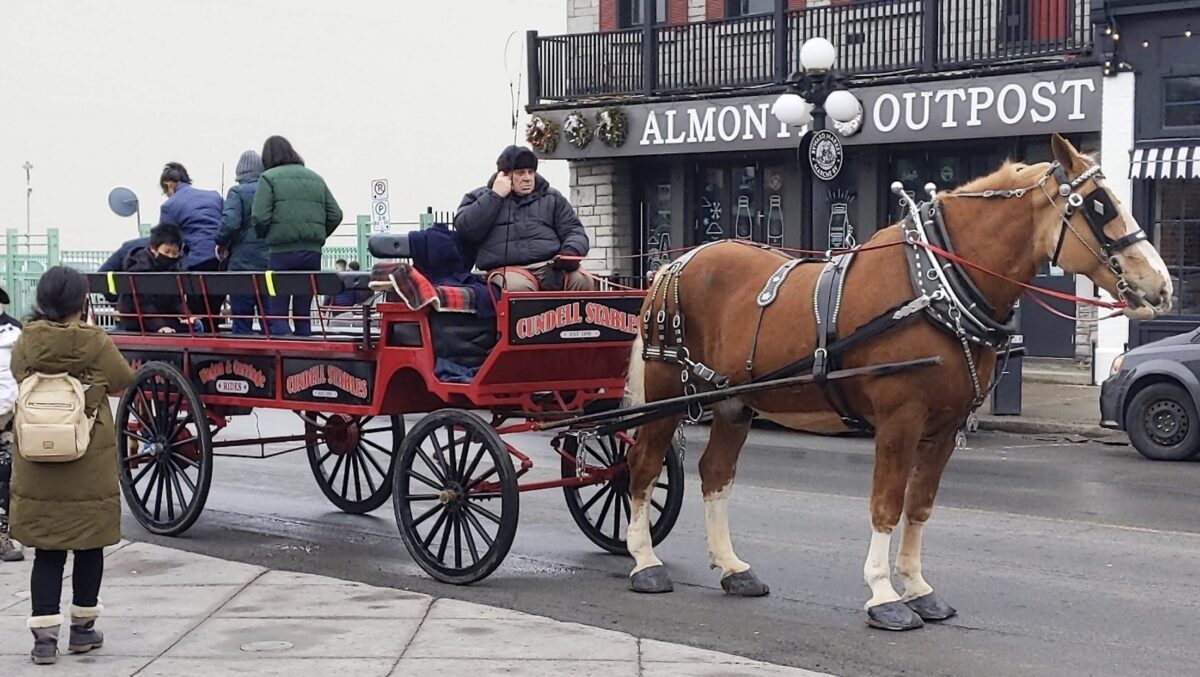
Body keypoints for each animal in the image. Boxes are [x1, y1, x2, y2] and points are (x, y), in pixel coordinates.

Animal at [620, 134, 1172, 631]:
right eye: (1099, 204)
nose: (1161, 285)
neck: (937, 287)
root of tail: (673, 263)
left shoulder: (944, 427)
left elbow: (919, 506)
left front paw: (919, 589)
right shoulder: (899, 421)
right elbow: (885, 504)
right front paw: (884, 595)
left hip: (734, 402)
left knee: (715, 473)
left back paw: (733, 567)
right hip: (667, 391)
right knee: (642, 468)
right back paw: (645, 562)